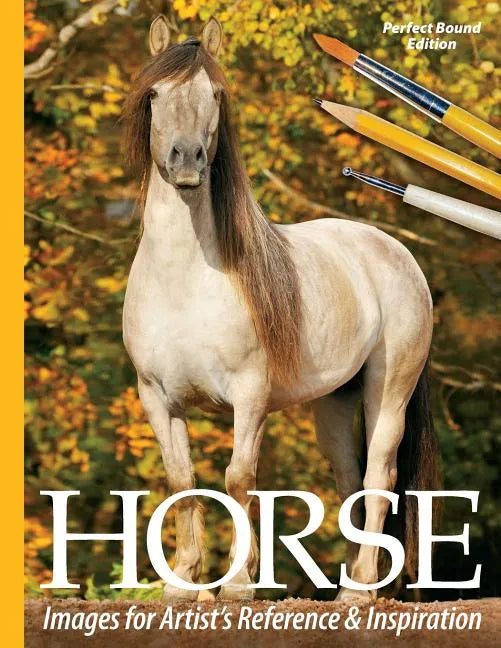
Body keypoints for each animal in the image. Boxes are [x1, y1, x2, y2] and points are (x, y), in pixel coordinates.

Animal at [122, 16, 440, 602]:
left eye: (216, 94)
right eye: (154, 94)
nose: (186, 161)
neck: (185, 280)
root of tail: (395, 253)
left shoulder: (250, 397)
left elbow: (238, 478)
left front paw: (239, 584)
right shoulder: (156, 398)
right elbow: (182, 481)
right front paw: (183, 583)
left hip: (389, 391)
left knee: (378, 476)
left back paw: (360, 591)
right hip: (335, 402)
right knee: (348, 478)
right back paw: (344, 588)